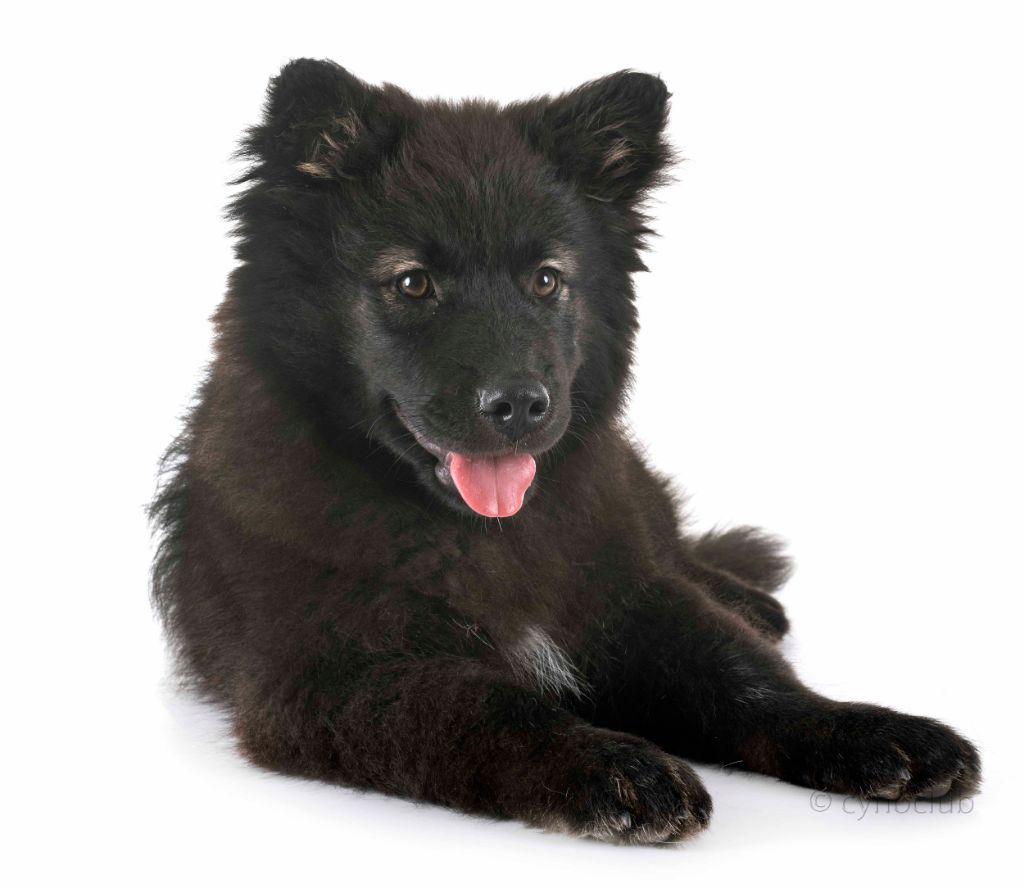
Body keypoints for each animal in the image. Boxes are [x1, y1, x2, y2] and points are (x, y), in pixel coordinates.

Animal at [151, 59, 980, 844]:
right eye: (412, 283)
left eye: (547, 280)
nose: (520, 405)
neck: (483, 534)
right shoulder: (333, 671)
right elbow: (491, 708)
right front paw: (613, 767)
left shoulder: (628, 597)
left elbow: (746, 677)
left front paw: (870, 731)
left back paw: (748, 596)